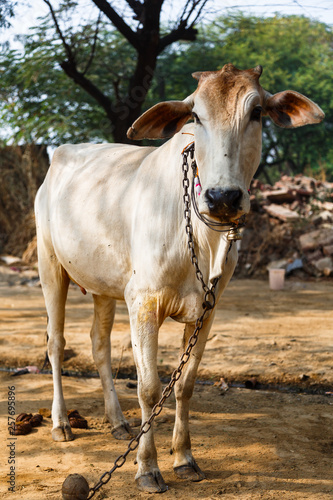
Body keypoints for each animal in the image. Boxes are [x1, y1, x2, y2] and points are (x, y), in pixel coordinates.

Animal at [35, 64, 322, 494]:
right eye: (196, 116)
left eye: (256, 113)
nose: (223, 198)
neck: (203, 240)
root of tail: (61, 156)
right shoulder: (143, 302)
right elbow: (150, 388)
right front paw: (147, 468)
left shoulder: (208, 309)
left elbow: (185, 385)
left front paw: (184, 458)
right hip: (50, 265)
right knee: (56, 344)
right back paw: (60, 423)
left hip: (104, 287)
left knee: (99, 346)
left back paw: (118, 422)